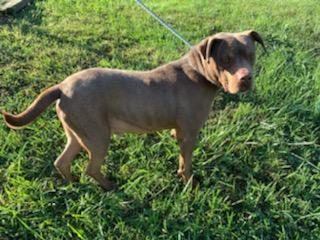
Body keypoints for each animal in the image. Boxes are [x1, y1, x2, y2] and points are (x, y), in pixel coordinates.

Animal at [0, 30, 264, 191]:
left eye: (251, 55)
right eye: (227, 59)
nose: (246, 79)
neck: (199, 71)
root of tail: (62, 87)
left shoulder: (180, 131)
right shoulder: (189, 134)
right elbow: (186, 162)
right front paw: (188, 182)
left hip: (77, 133)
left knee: (62, 161)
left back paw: (73, 182)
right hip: (98, 137)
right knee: (91, 167)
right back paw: (109, 187)